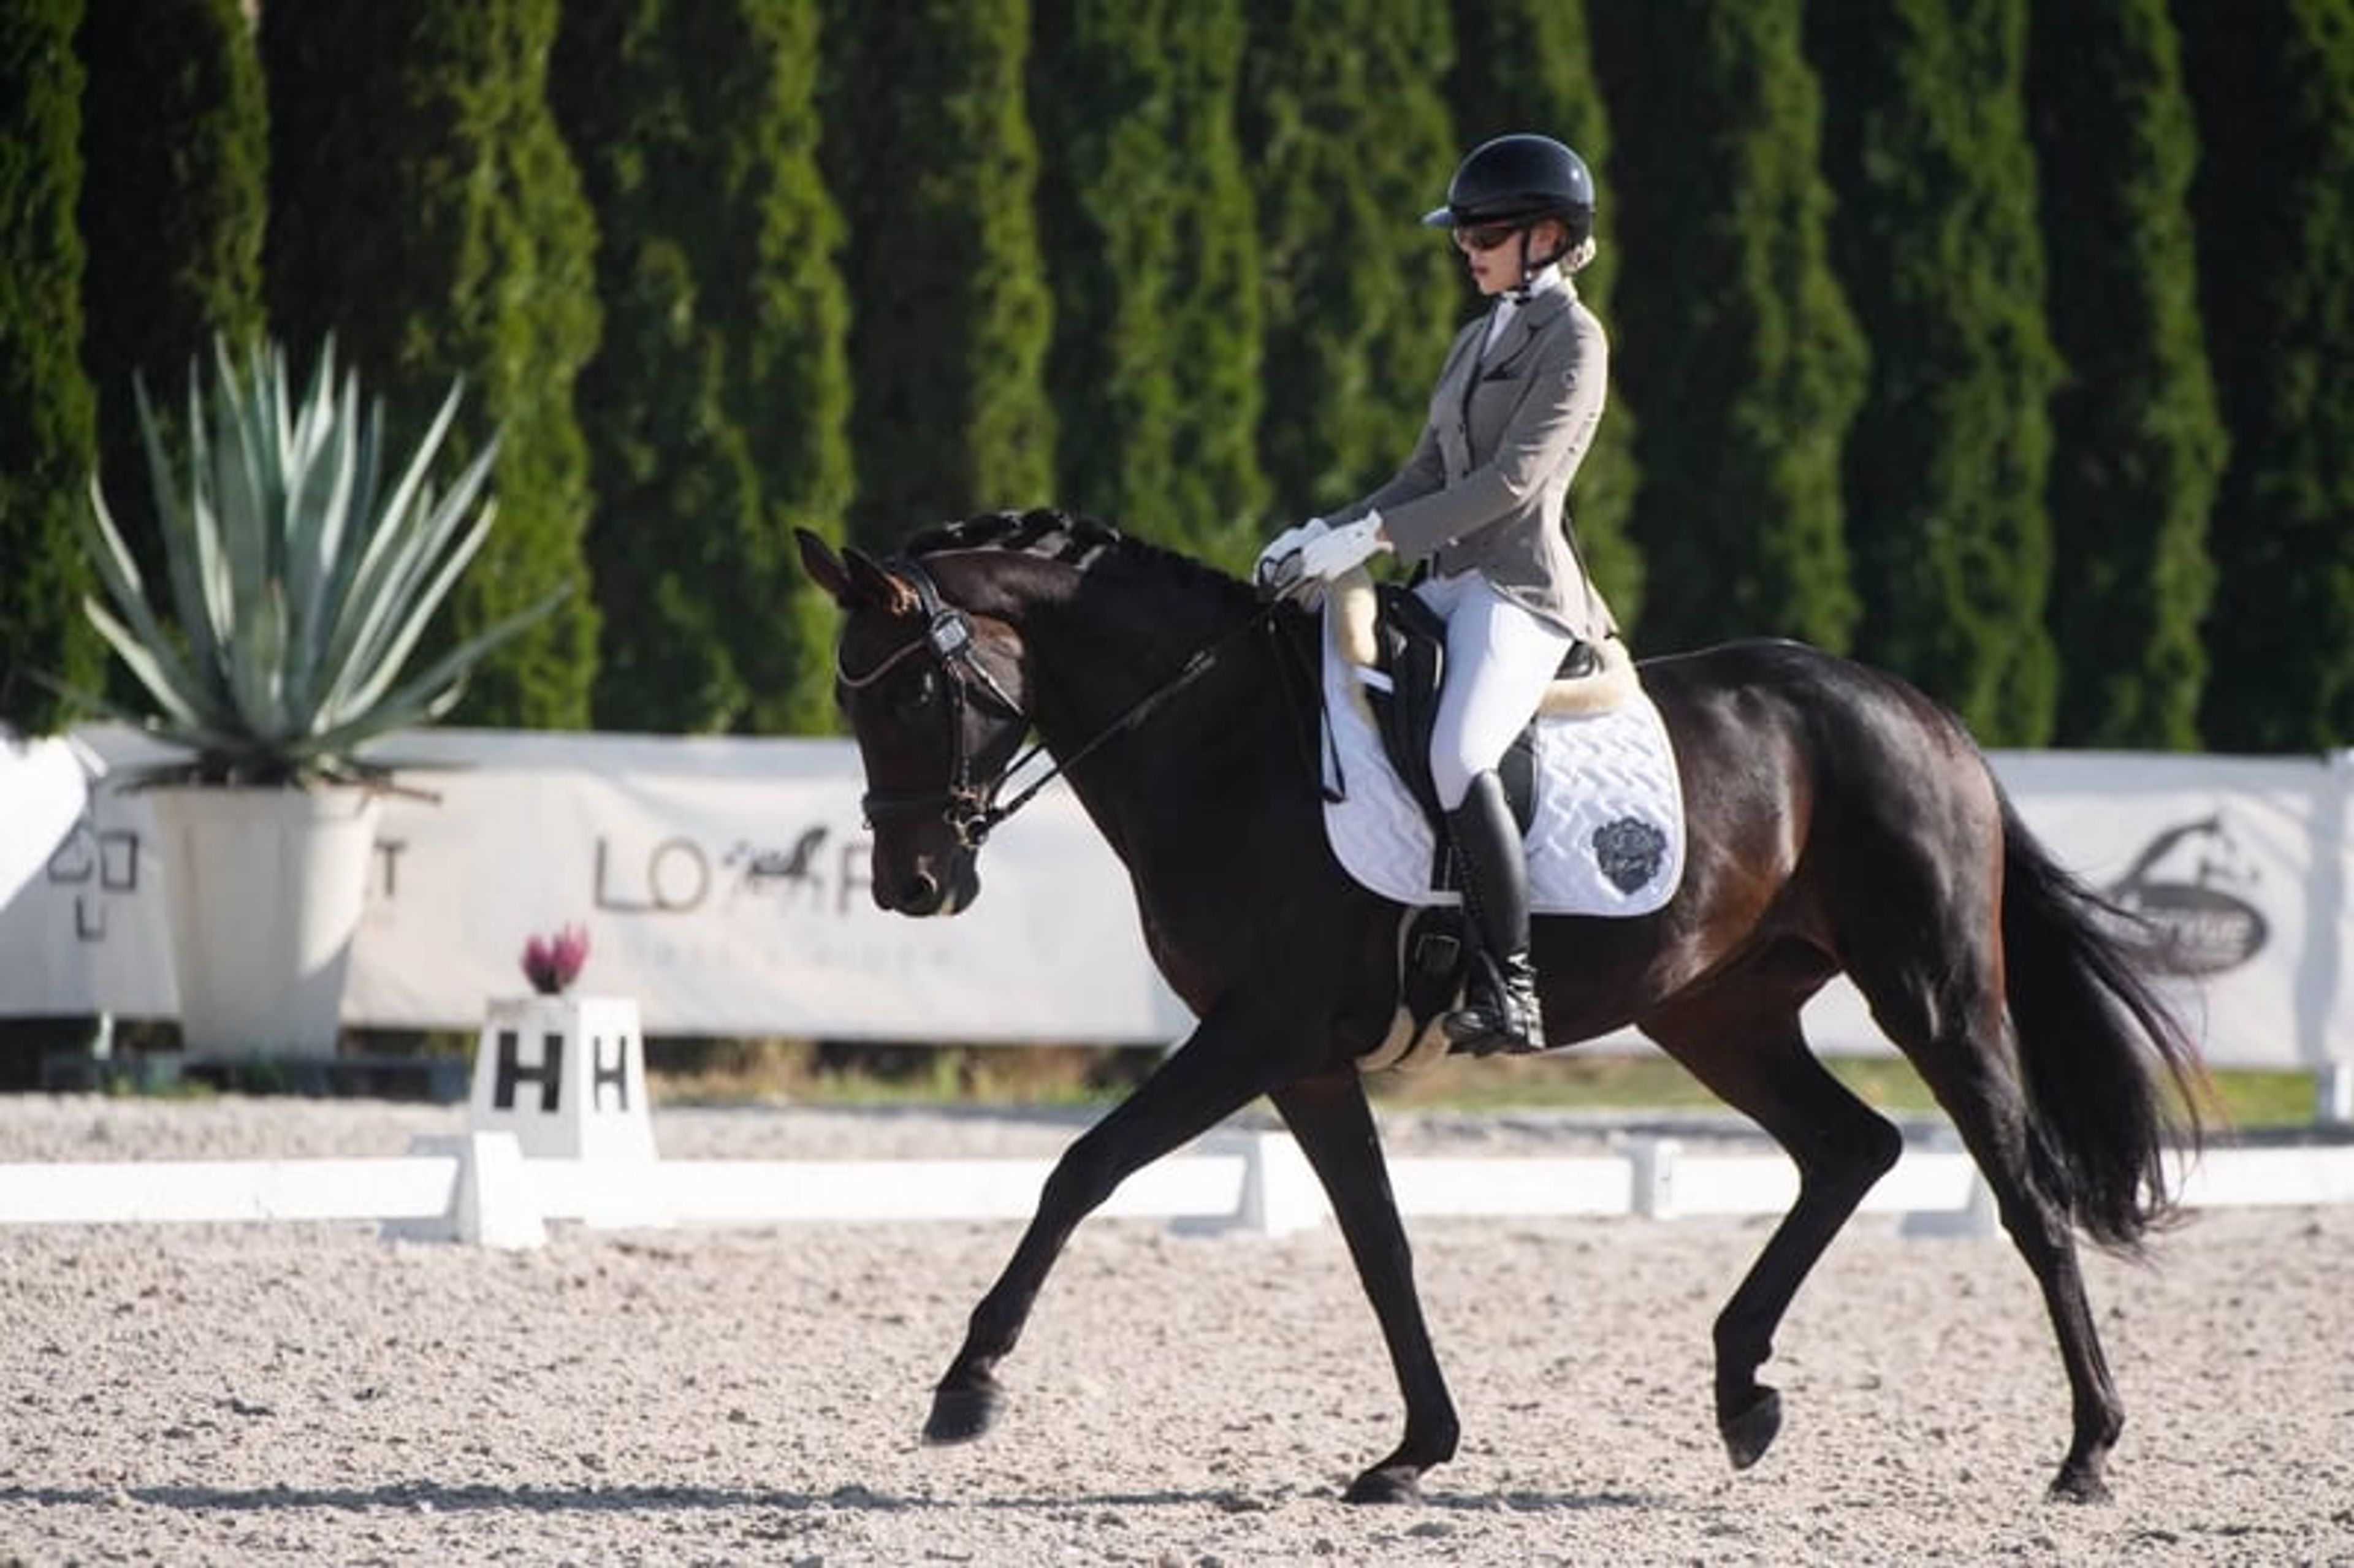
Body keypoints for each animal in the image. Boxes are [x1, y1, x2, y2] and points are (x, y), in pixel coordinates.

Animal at [794, 508, 2206, 1507]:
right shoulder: (1304, 1059)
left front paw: (966, 1385)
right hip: (1719, 1010)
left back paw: (2088, 1451)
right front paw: (1416, 1448)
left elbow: (1082, 1168)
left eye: (913, 691)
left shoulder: (1254, 1030)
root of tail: (1925, 711)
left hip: (1935, 990)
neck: (1223, 741)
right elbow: (1381, 1244)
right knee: (1849, 1147)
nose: (914, 885)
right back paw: (1741, 1389)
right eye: (845, 694)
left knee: (2022, 1190)